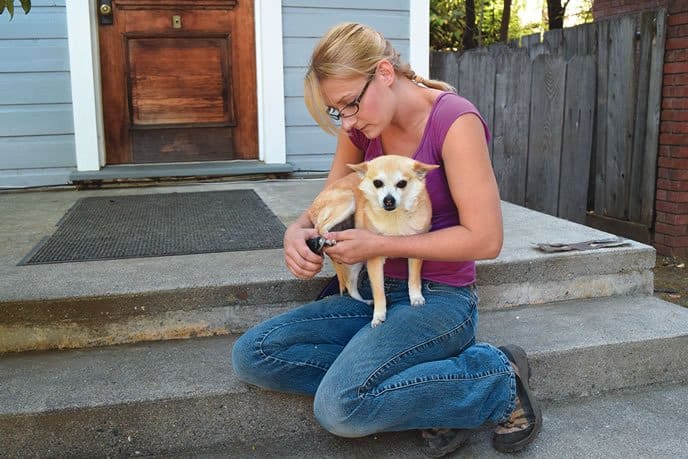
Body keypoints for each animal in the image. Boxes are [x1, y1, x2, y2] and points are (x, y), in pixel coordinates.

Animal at [310, 156, 438, 328]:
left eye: (402, 183)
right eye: (377, 183)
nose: (388, 200)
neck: (394, 217)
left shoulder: (416, 252)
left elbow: (413, 278)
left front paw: (416, 297)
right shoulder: (374, 261)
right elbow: (378, 291)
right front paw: (378, 315)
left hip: (355, 262)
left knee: (351, 288)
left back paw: (366, 301)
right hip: (348, 199)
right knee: (319, 227)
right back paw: (328, 238)